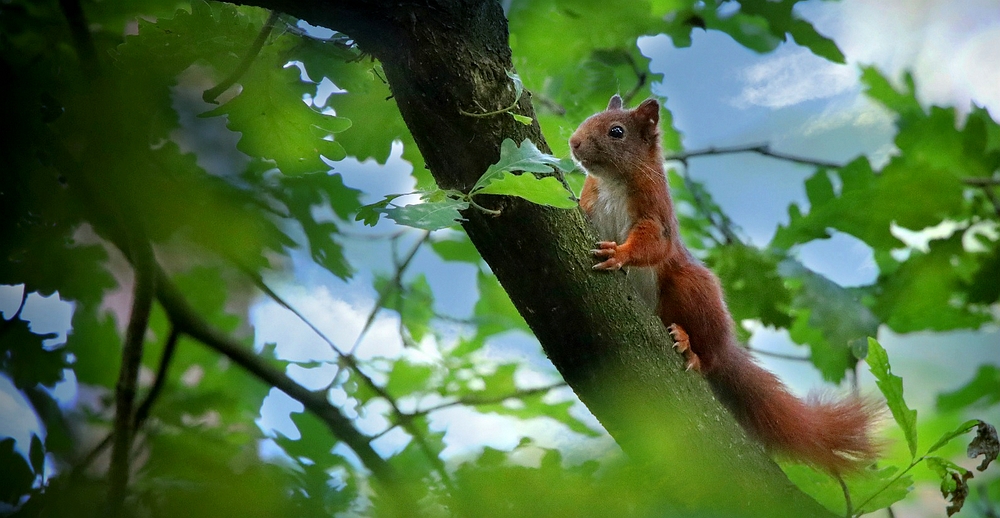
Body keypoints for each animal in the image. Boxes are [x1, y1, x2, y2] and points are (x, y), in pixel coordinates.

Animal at [568, 93, 880, 476]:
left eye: (616, 131)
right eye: (589, 118)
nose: (574, 142)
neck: (612, 182)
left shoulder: (656, 213)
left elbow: (654, 244)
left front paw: (621, 253)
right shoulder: (590, 202)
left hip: (692, 289)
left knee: (711, 359)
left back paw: (691, 347)